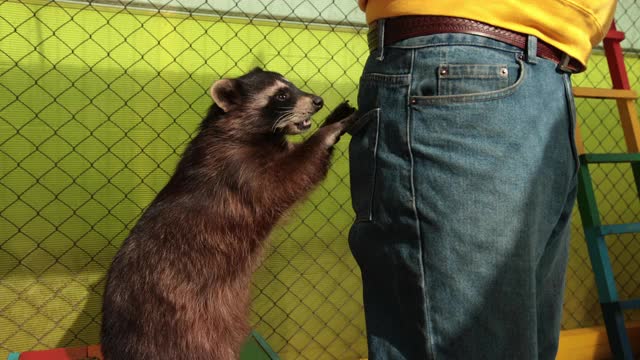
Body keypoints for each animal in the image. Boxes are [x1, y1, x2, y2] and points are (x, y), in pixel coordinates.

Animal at [102, 68, 358, 360]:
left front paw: (331, 118)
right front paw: (326, 133)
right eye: (281, 95)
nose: (317, 101)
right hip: (180, 326)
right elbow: (286, 178)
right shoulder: (237, 169)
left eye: (293, 85)